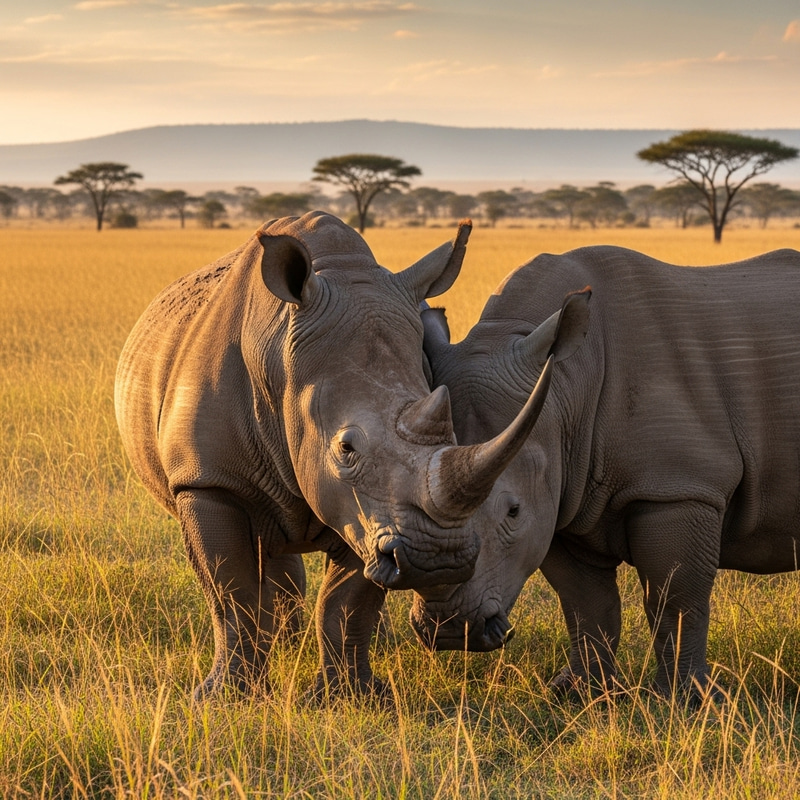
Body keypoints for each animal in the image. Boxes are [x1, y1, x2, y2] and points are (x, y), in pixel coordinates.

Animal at [115, 211, 543, 699]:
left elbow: (347, 602)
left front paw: (352, 697)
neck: (280, 359)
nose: (438, 559)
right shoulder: (207, 480)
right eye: (346, 449)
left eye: (453, 435)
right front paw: (226, 698)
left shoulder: (367, 512)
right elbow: (230, 593)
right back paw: (282, 645)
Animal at [412, 244, 800, 699]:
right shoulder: (563, 497)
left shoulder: (678, 487)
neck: (567, 386)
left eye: (513, 512)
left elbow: (676, 598)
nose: (449, 628)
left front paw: (686, 699)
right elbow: (585, 603)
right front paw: (578, 692)